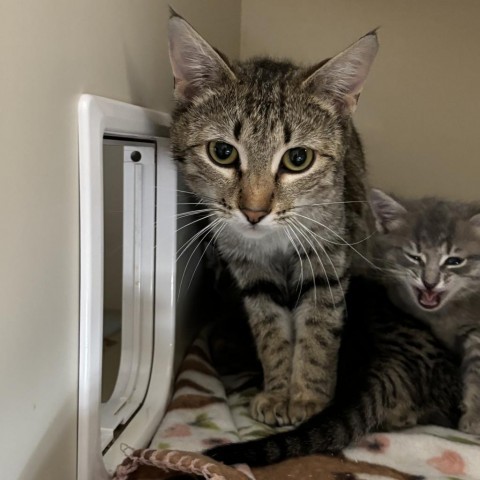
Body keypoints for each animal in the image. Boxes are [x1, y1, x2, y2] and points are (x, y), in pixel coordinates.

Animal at [169, 12, 378, 424]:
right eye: (222, 152)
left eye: (298, 159)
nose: (254, 211)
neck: (273, 242)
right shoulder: (252, 273)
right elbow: (271, 334)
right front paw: (278, 392)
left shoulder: (326, 260)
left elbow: (319, 332)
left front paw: (309, 398)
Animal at [370, 188, 480, 436]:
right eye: (414, 257)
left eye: (454, 261)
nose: (429, 283)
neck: (443, 316)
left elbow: (477, 371)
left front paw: (474, 418)